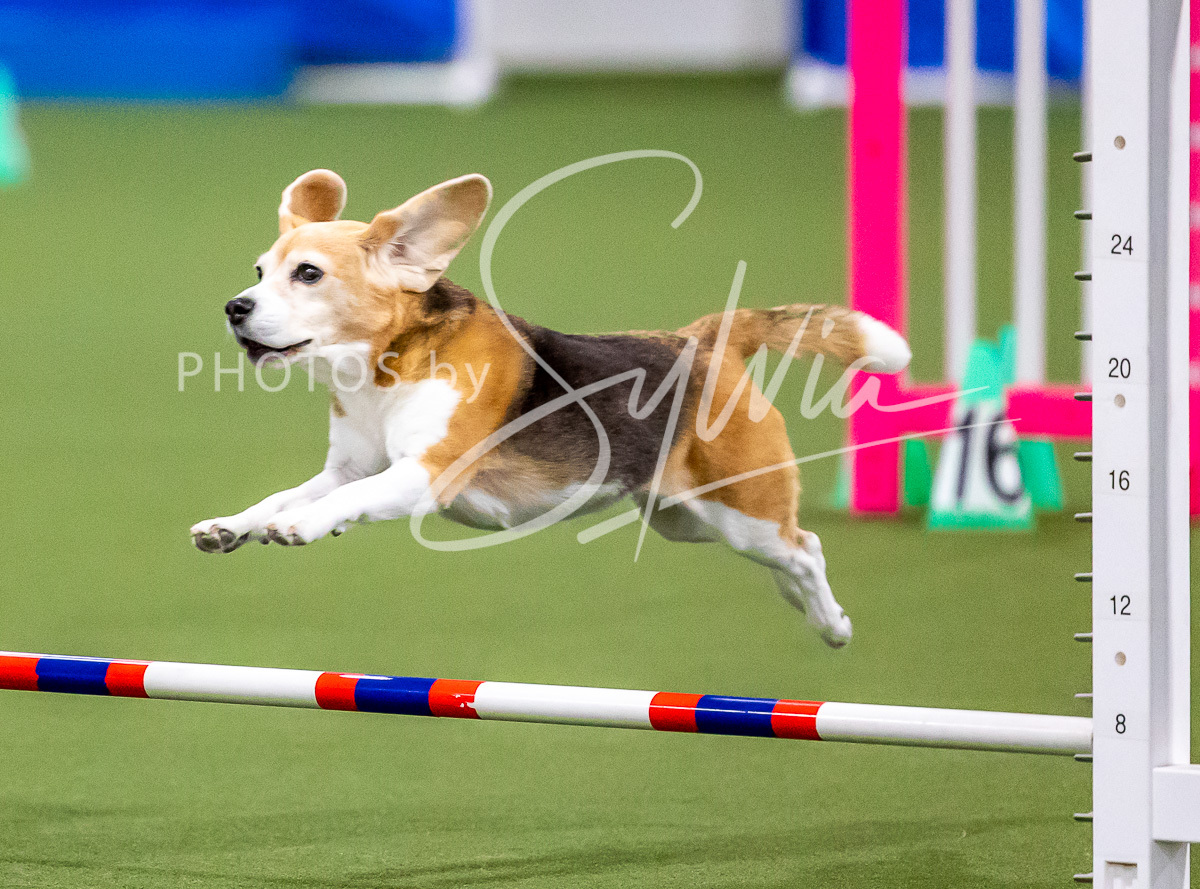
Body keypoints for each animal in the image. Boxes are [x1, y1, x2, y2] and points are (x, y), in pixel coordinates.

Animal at [190, 170, 910, 647]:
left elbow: (339, 502)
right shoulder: (349, 466)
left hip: (738, 508)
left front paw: (304, 525)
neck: (385, 365)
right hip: (682, 517)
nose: (234, 308)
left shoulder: (425, 473)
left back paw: (831, 623)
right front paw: (234, 524)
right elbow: (296, 492)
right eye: (259, 272)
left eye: (308, 274)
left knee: (805, 548)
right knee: (790, 554)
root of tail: (703, 340)